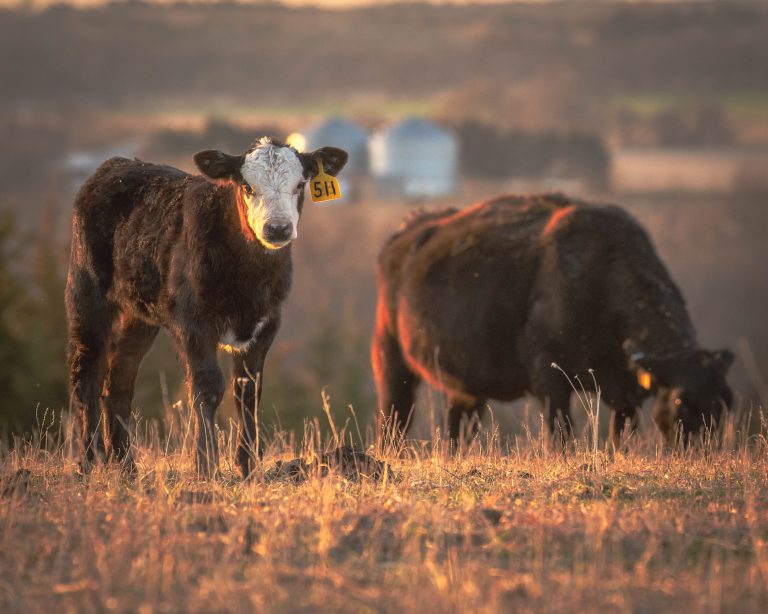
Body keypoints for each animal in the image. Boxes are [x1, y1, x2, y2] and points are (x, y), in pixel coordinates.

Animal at [66, 137, 348, 477]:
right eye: (247, 186)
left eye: (301, 184)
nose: (278, 228)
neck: (250, 280)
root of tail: (114, 164)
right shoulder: (193, 323)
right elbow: (208, 386)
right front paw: (206, 464)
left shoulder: (266, 324)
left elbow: (248, 392)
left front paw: (248, 465)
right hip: (86, 292)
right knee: (87, 373)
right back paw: (89, 461)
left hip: (139, 315)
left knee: (119, 380)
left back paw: (125, 465)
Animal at [372, 194, 734, 449]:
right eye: (680, 401)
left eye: (726, 401)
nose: (704, 450)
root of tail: (403, 236)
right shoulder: (551, 380)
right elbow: (561, 434)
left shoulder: (625, 396)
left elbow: (621, 437)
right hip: (391, 360)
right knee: (395, 417)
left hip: (467, 387)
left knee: (457, 426)